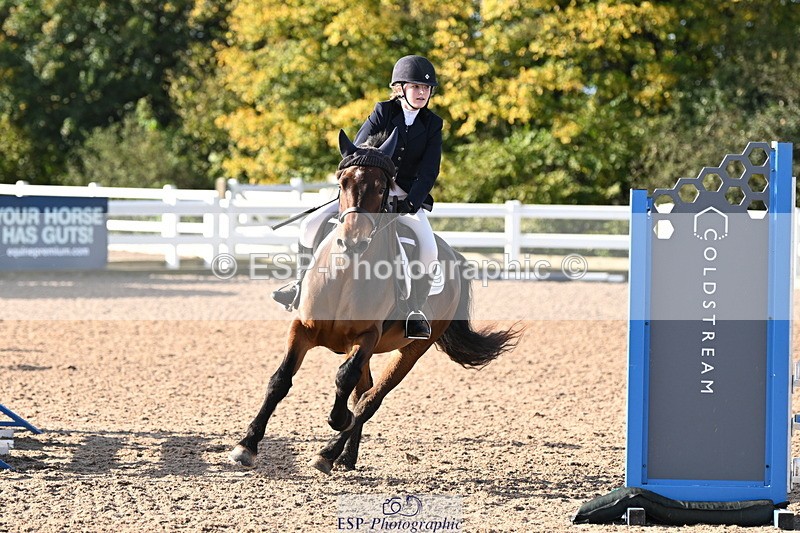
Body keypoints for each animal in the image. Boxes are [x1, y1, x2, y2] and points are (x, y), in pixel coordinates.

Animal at [229, 129, 521, 474]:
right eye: (342, 182)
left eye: (382, 187)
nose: (353, 241)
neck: (345, 274)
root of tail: (453, 255)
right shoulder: (302, 328)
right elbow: (280, 380)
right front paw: (246, 445)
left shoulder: (367, 336)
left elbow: (345, 380)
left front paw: (338, 420)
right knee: (362, 391)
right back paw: (345, 457)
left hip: (413, 349)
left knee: (370, 399)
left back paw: (329, 452)